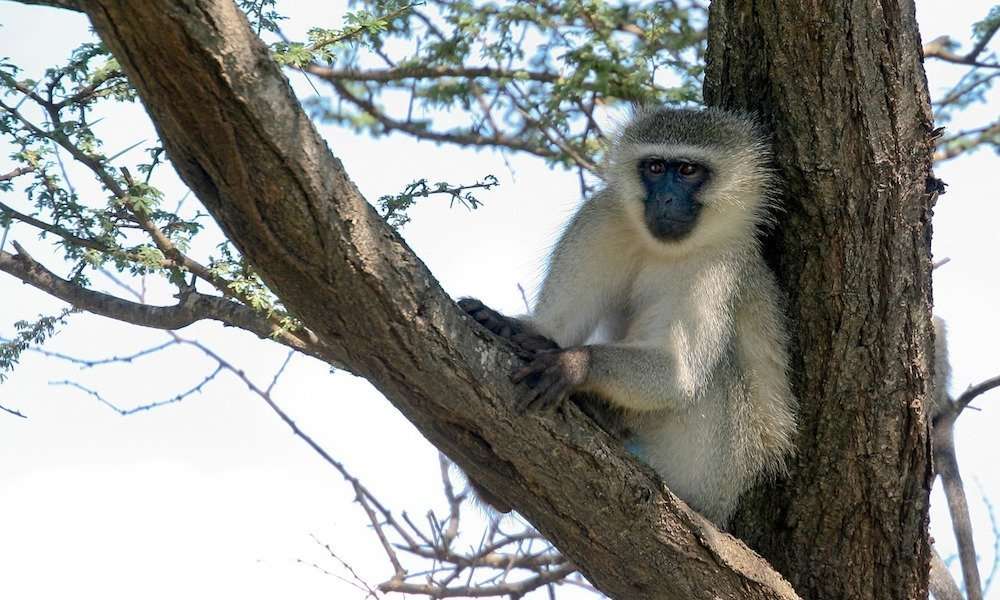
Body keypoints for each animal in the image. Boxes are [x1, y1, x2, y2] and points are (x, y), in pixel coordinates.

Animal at [460, 106, 797, 527]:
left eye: (688, 170)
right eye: (654, 167)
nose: (665, 197)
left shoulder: (717, 264)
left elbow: (678, 375)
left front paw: (576, 363)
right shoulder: (599, 219)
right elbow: (555, 326)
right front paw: (511, 325)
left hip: (708, 470)